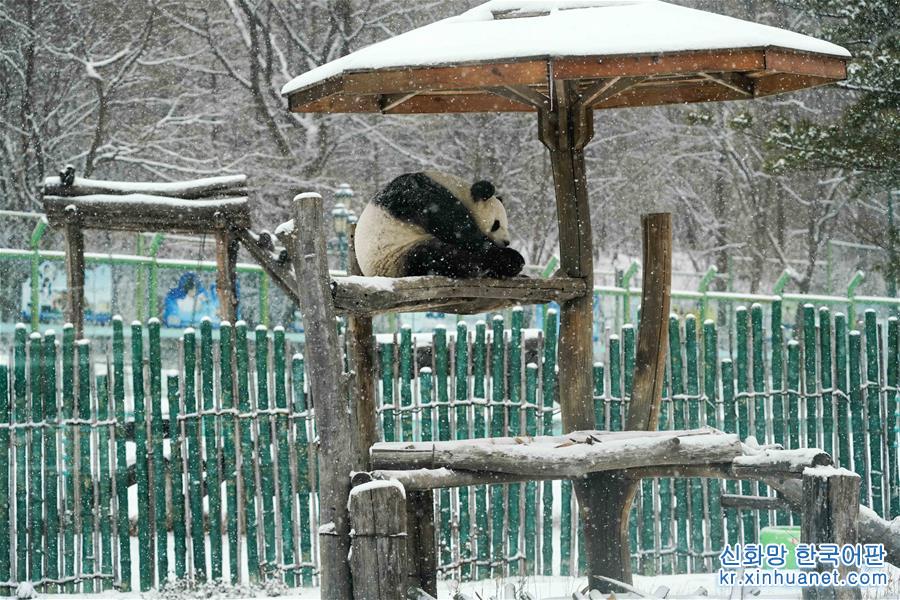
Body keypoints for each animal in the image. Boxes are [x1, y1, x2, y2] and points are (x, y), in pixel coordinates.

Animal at [356, 171, 528, 278]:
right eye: (496, 224)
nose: (506, 242)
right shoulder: (421, 198)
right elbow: (457, 229)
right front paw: (506, 254)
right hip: (396, 254)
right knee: (439, 257)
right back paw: (509, 262)